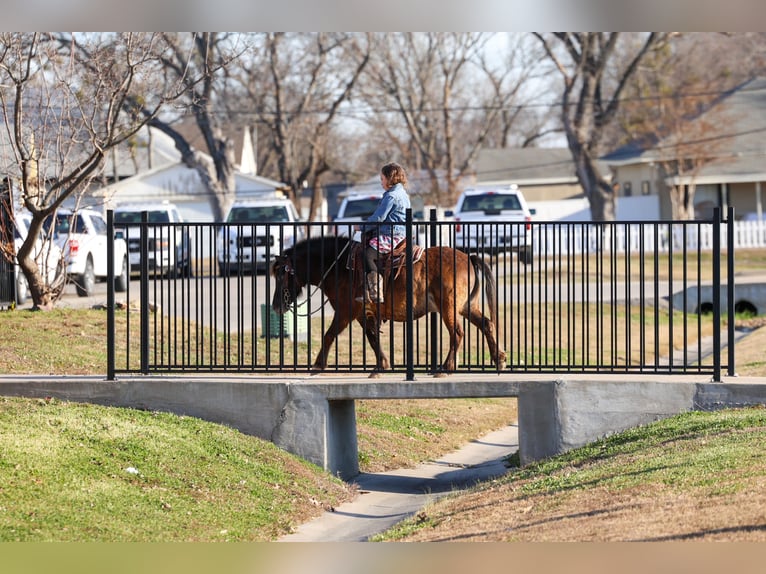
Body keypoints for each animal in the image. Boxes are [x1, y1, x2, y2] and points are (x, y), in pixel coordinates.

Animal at [270, 234, 506, 377]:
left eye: (282, 275)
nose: (275, 306)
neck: (339, 266)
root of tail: (468, 258)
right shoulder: (363, 314)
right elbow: (373, 338)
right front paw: (381, 366)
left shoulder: (346, 312)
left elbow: (329, 335)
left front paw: (318, 365)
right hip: (466, 306)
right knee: (486, 324)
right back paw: (499, 360)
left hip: (449, 307)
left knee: (457, 333)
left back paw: (445, 368)